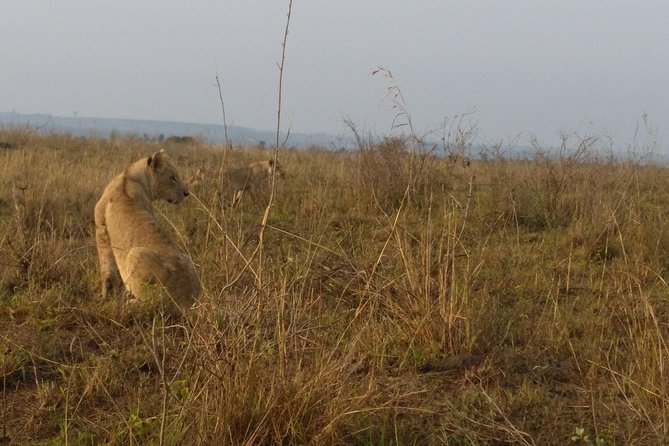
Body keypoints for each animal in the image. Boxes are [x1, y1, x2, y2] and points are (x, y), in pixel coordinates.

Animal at [94, 150, 200, 314]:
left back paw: (130, 303)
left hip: (136, 253)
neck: (130, 176)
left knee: (151, 303)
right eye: (172, 177)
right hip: (188, 260)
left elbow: (106, 268)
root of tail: (187, 301)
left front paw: (105, 294)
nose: (186, 193)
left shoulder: (101, 227)